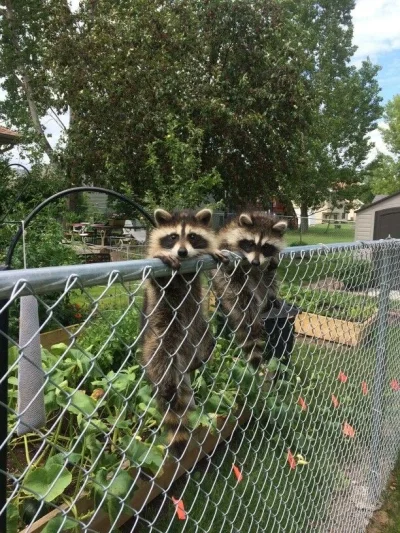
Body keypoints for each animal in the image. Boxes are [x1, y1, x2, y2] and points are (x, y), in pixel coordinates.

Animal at [143, 206, 228, 456]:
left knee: (208, 342)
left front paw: (211, 250)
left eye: (192, 236)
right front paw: (162, 255)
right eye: (172, 237)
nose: (181, 252)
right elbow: (157, 281)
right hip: (163, 333)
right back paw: (168, 387)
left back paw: (200, 359)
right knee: (161, 363)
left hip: (200, 328)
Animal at [214, 210, 286, 368]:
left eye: (266, 247)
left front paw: (274, 257)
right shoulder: (227, 234)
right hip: (229, 283)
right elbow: (222, 245)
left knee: (269, 278)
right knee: (245, 302)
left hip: (263, 279)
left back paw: (270, 298)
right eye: (250, 244)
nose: (255, 262)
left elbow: (272, 265)